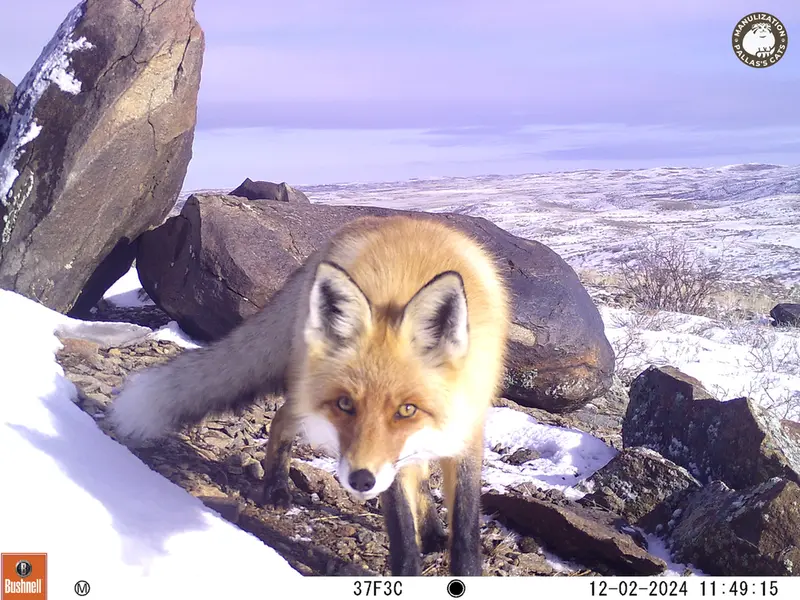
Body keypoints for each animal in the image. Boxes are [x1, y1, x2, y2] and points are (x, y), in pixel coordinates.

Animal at [107, 214, 511, 576]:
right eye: (346, 404)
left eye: (406, 409)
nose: (361, 481)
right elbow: (400, 525)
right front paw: (409, 567)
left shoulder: (466, 429)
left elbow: (465, 527)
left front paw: (460, 562)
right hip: (306, 387)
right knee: (282, 417)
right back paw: (275, 487)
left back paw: (430, 530)